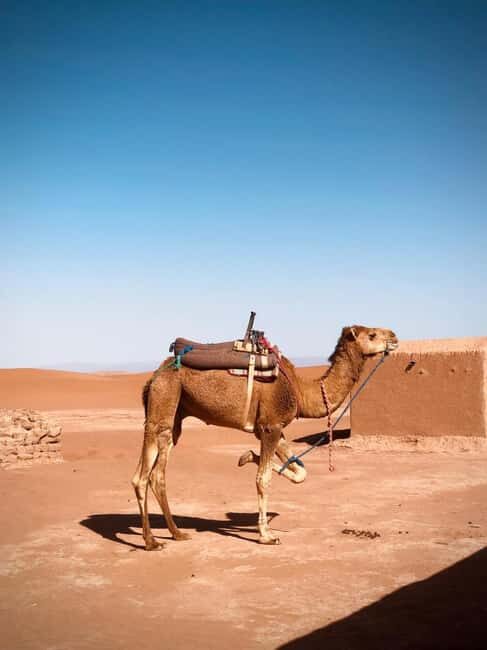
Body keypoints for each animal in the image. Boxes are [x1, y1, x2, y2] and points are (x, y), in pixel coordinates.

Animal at [132, 324, 398, 549]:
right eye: (372, 335)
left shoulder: (273, 429)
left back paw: (176, 533)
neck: (301, 391)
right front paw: (266, 535)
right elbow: (264, 479)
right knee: (144, 476)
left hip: (175, 412)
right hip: (164, 400)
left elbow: (300, 472)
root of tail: (153, 376)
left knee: (153, 473)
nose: (394, 337)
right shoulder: (271, 426)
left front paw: (247, 456)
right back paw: (151, 541)